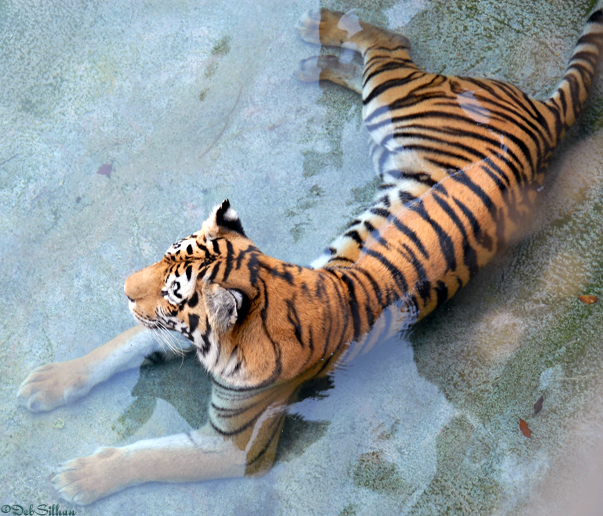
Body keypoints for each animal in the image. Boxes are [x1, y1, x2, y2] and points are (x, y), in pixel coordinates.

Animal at [15, 2, 603, 506]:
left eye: (172, 292)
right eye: (164, 256)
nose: (121, 288)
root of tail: (546, 114)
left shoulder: (235, 446)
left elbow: (153, 458)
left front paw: (78, 479)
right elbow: (116, 348)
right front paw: (47, 384)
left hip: (396, 101)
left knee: (392, 45)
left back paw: (318, 30)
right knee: (378, 56)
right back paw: (312, 62)